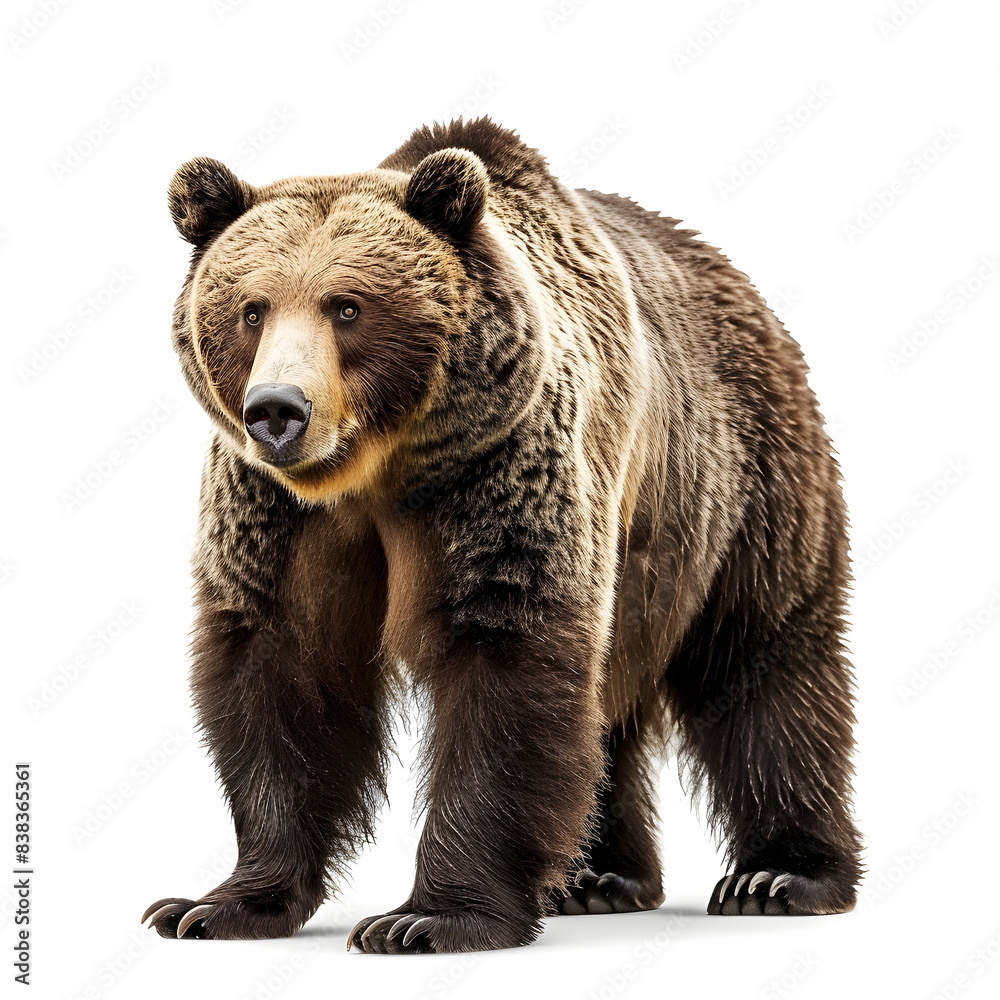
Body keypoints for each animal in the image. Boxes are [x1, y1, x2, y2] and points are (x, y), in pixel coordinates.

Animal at [142, 118, 862, 953]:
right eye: (252, 308)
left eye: (347, 306)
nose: (277, 411)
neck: (378, 470)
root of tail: (736, 279)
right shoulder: (281, 517)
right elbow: (282, 669)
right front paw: (215, 905)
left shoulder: (498, 475)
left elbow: (505, 660)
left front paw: (426, 918)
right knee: (606, 704)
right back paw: (596, 877)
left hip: (737, 482)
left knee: (764, 659)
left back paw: (778, 877)